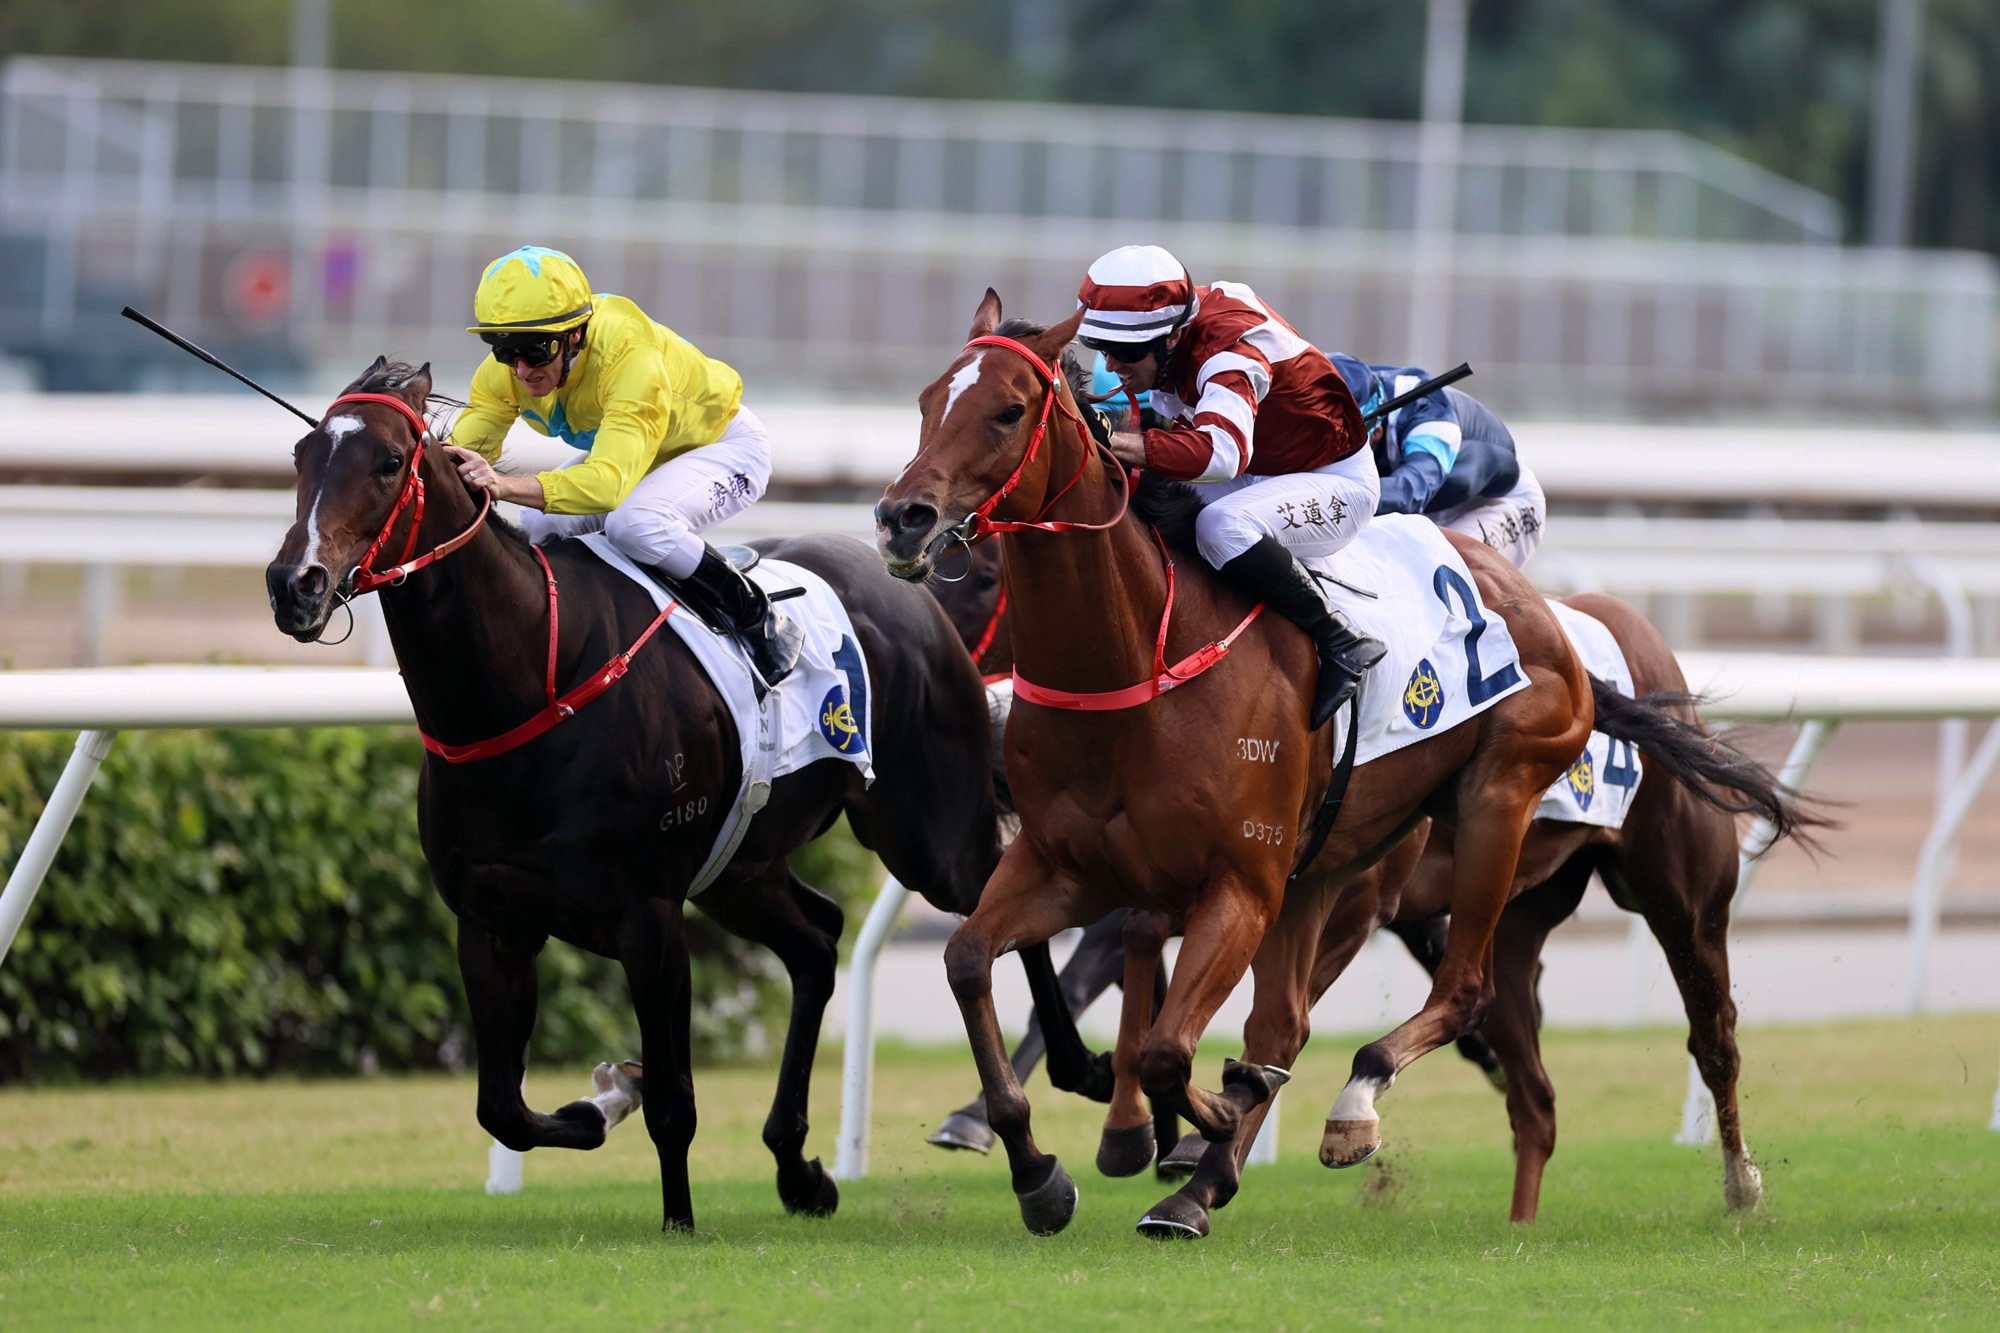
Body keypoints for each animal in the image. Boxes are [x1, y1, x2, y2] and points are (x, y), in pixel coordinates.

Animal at [876, 296, 1592, 1232]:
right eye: (929, 400)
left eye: (1008, 409)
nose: (904, 518)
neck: (1135, 659)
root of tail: (1528, 598)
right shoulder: (1064, 863)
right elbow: (968, 960)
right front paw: (1039, 1171)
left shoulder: (1238, 884)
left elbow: (1169, 1050)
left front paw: (1189, 1114)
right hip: (1327, 862)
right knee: (1283, 1021)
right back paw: (1199, 1185)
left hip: (1491, 802)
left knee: (1461, 987)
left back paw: (1339, 1110)